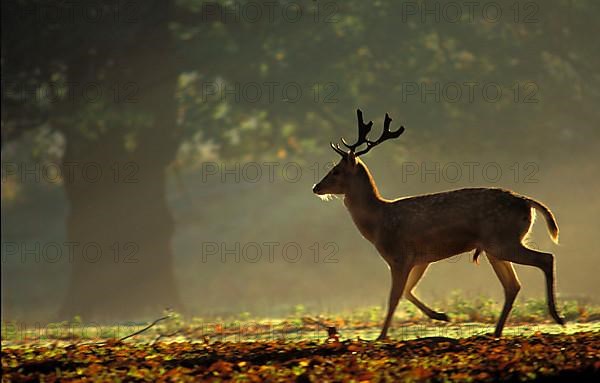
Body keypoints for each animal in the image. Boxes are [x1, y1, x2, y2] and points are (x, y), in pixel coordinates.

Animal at [312, 109, 564, 340]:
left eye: (336, 170)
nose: (316, 187)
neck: (377, 223)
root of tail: (527, 202)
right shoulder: (421, 258)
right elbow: (407, 291)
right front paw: (441, 315)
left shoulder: (399, 256)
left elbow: (394, 296)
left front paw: (380, 337)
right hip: (494, 247)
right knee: (513, 285)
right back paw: (496, 332)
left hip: (503, 241)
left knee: (545, 259)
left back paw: (556, 316)